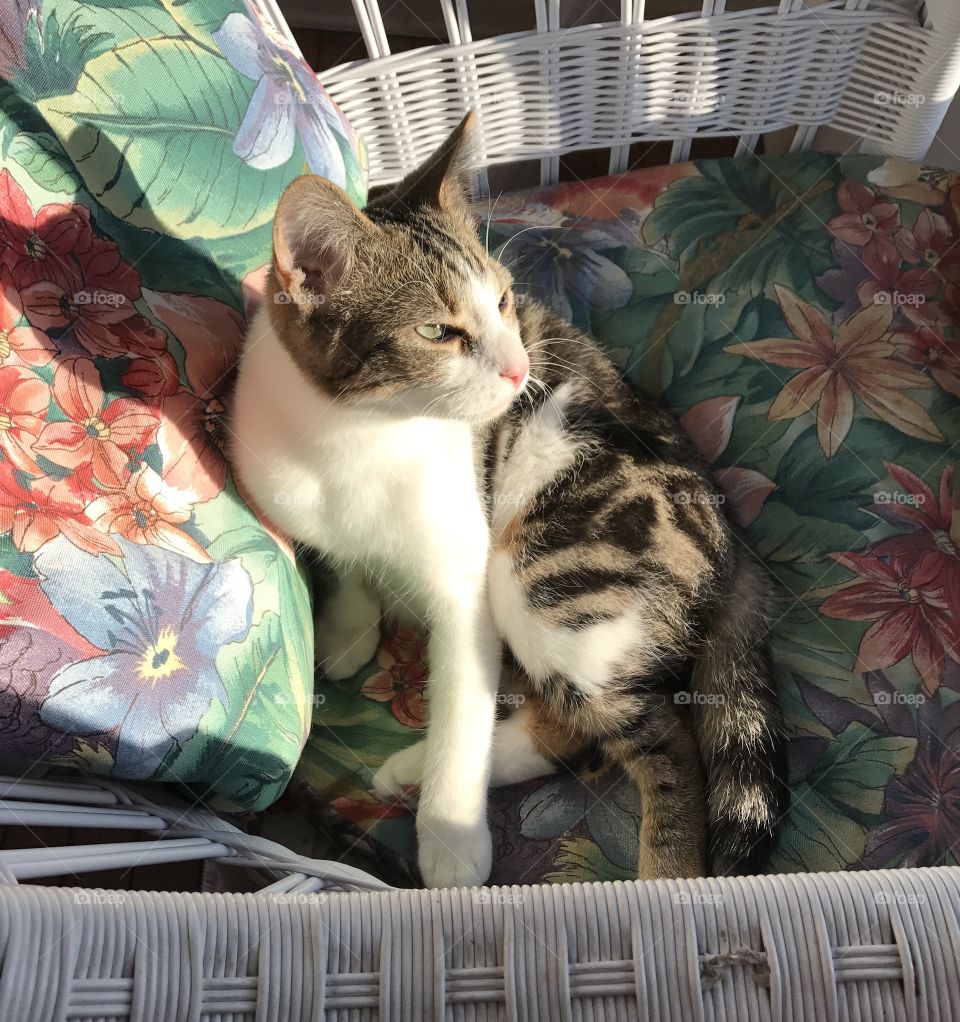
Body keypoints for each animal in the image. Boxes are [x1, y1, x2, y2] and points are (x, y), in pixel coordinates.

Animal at [233, 111, 789, 887]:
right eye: (436, 330)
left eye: (501, 300)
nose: (521, 366)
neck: (354, 436)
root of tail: (731, 532)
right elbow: (344, 561)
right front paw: (349, 625)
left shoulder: (465, 581)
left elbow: (463, 710)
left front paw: (450, 838)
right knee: (576, 726)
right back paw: (407, 768)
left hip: (549, 567)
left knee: (656, 737)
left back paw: (664, 872)